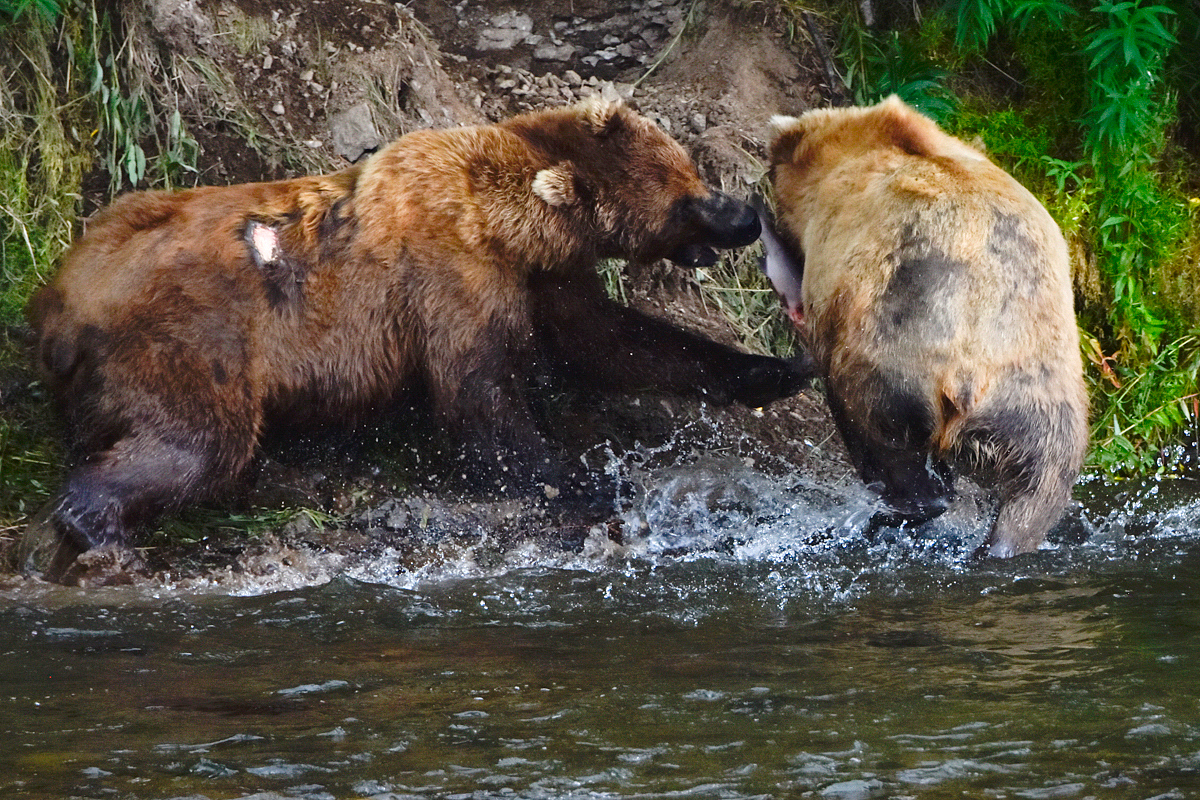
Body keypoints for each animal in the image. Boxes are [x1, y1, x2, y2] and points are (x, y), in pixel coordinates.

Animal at [30, 97, 816, 566]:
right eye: (687, 198)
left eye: (693, 172)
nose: (746, 215)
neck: (508, 221)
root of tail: (60, 297)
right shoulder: (448, 278)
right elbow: (480, 402)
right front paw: (584, 475)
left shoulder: (543, 280)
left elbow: (612, 339)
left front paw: (774, 371)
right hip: (190, 339)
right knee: (198, 441)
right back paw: (97, 524)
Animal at [768, 95, 1089, 556]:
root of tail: (968, 376)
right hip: (1036, 396)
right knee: (1037, 489)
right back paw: (1001, 542)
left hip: (890, 359)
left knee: (882, 438)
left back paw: (888, 510)